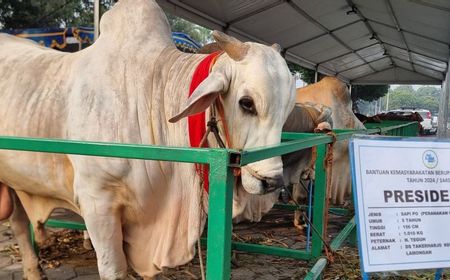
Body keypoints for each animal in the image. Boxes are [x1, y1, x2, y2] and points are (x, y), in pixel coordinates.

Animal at [0, 1, 296, 278]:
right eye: (247, 103)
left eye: (288, 108)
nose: (272, 182)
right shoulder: (96, 200)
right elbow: (114, 269)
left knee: (18, 222)